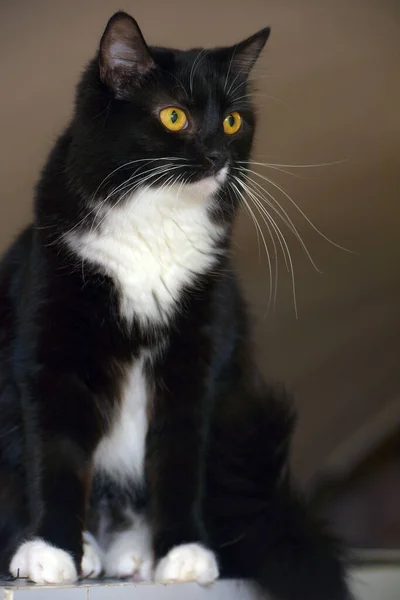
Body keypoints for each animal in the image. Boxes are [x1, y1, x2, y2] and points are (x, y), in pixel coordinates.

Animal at [0, 10, 350, 600]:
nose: (217, 156)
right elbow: (56, 451)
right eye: (173, 115)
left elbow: (180, 457)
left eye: (232, 122)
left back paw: (133, 552)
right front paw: (50, 549)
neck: (153, 223)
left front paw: (183, 551)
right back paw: (85, 549)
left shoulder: (199, 347)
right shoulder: (51, 338)